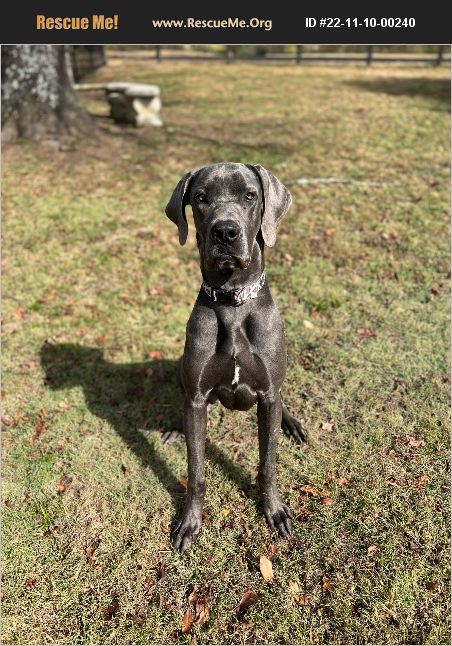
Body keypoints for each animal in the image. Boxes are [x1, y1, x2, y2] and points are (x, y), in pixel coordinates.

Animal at [164, 162, 306, 552]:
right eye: (200, 197)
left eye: (250, 195)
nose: (225, 232)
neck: (232, 303)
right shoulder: (197, 397)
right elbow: (196, 471)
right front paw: (189, 522)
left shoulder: (269, 394)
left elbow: (268, 463)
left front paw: (275, 511)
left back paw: (292, 424)